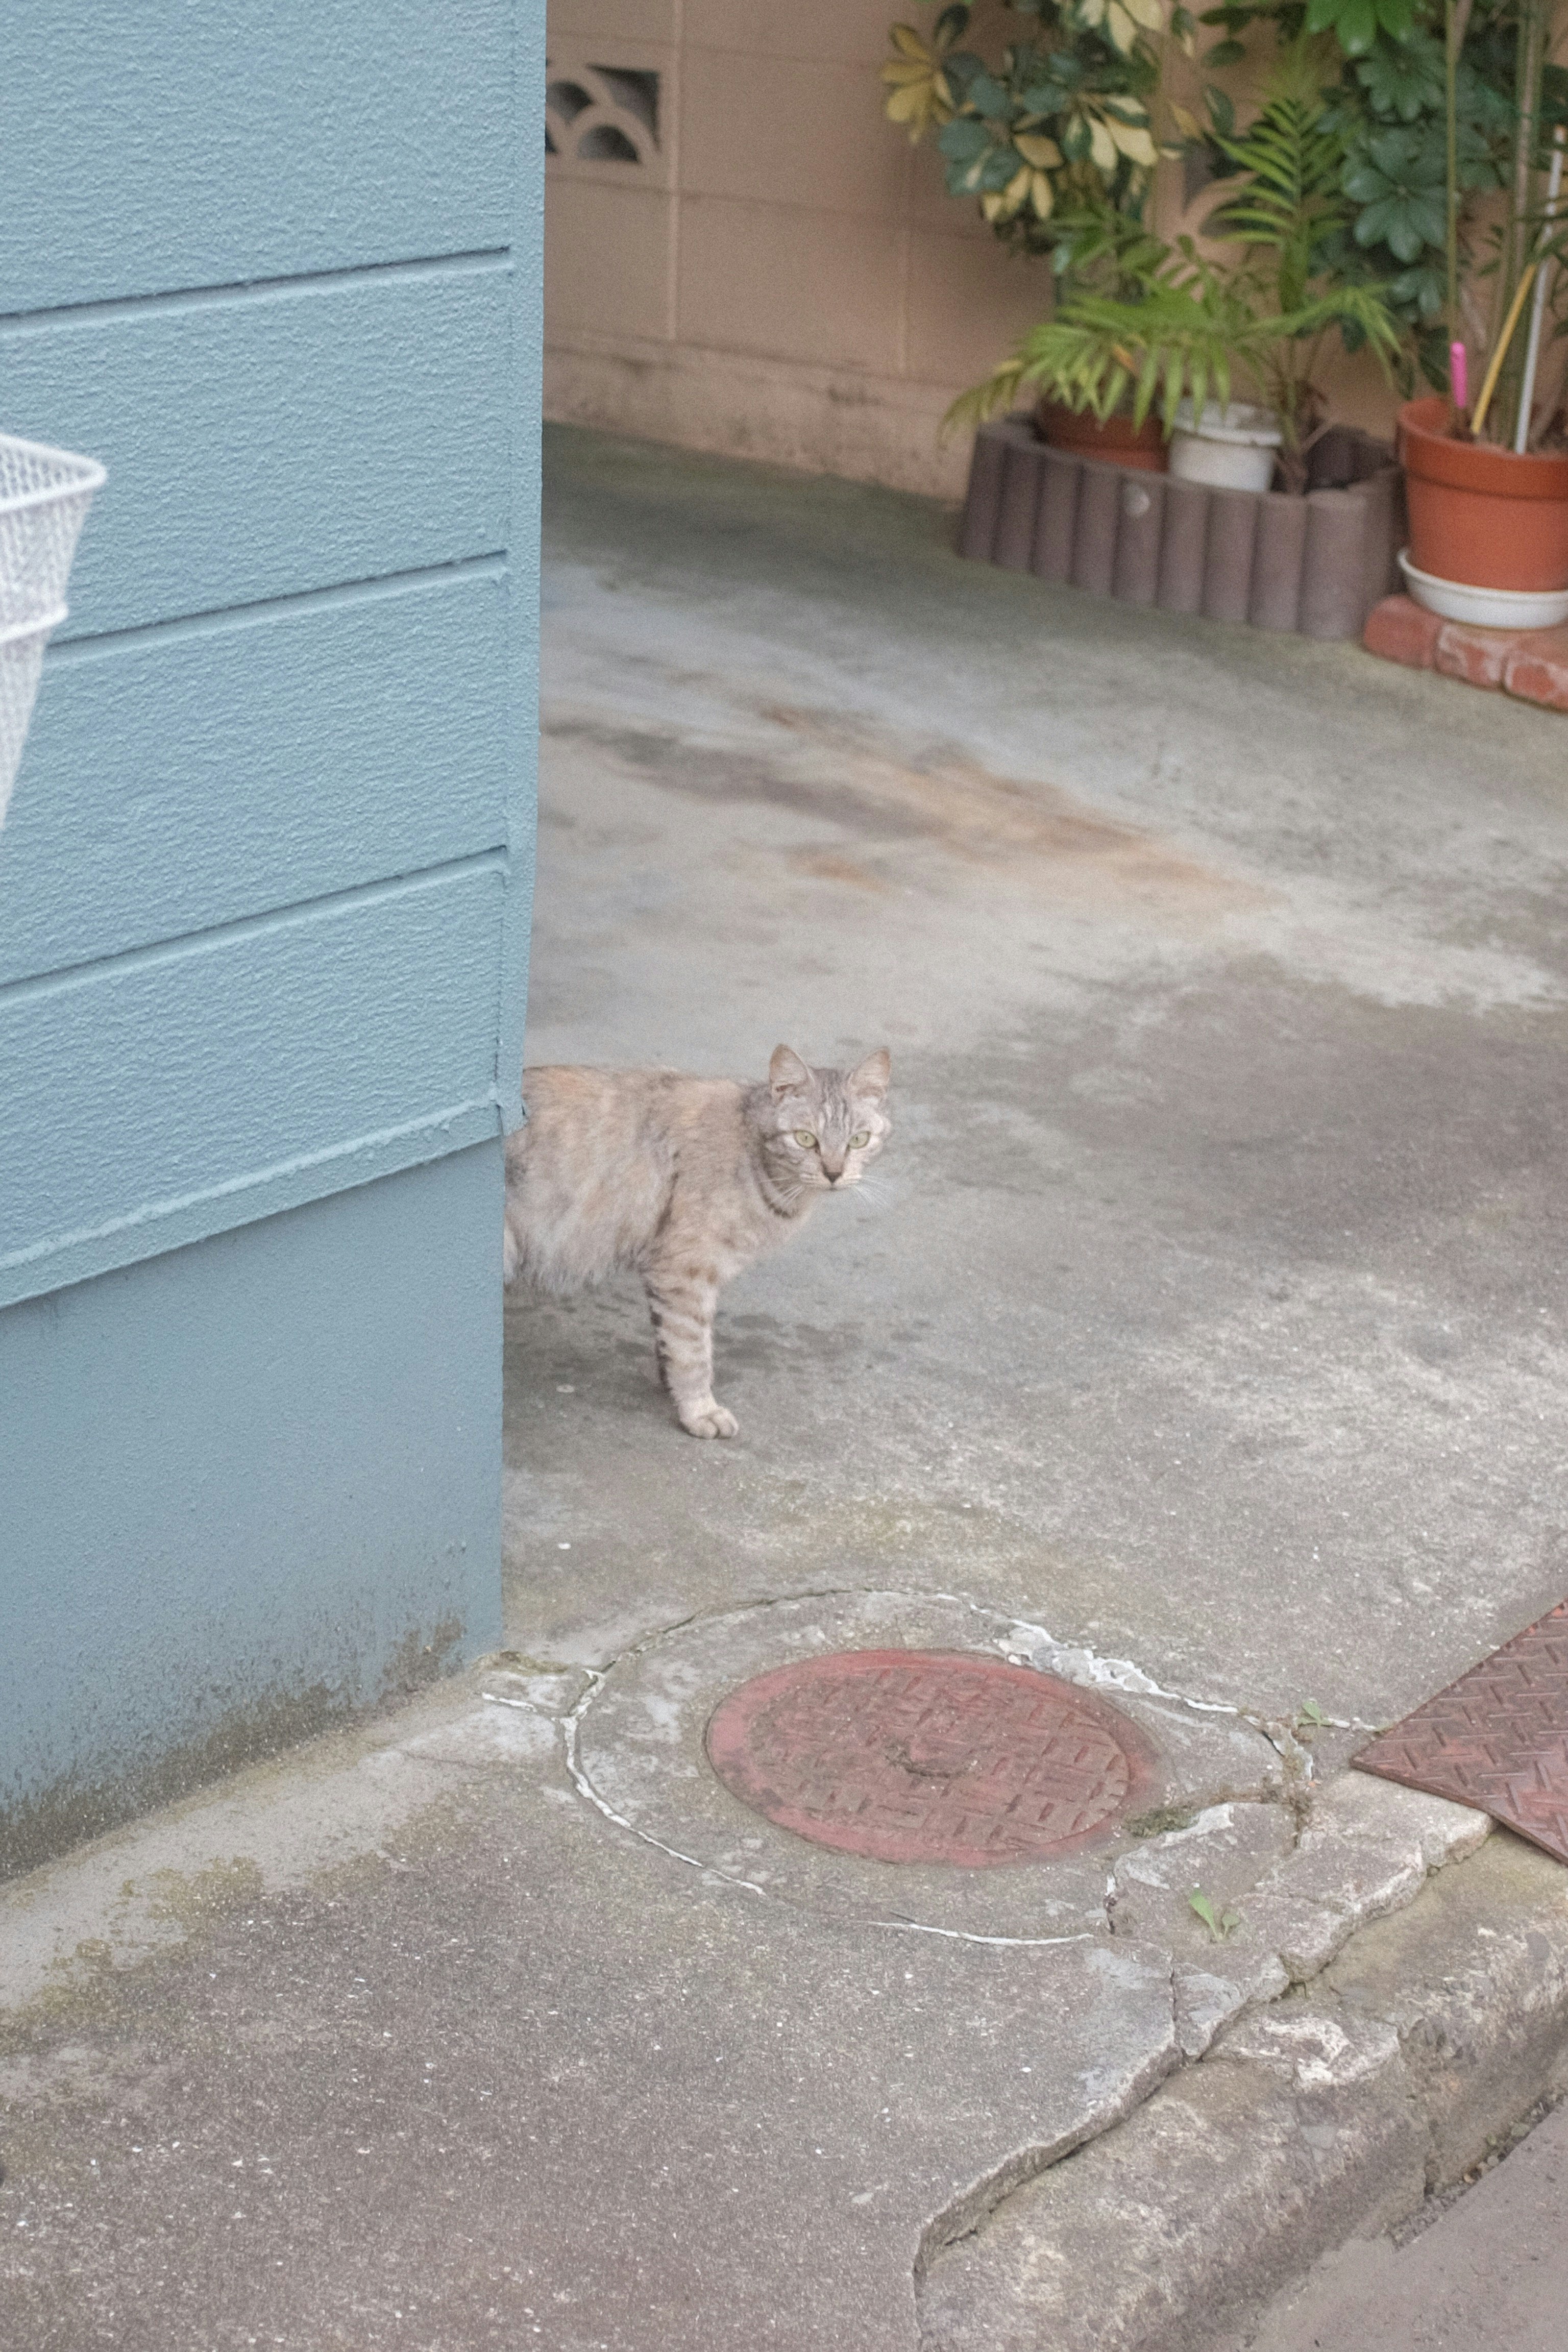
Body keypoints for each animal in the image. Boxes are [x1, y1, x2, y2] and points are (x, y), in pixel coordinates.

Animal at [503, 1044, 893, 1430]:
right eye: (806, 1139)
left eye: (858, 1141)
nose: (834, 1173)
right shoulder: (685, 1271)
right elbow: (693, 1350)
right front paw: (699, 1409)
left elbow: (669, 1339)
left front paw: (672, 1385)